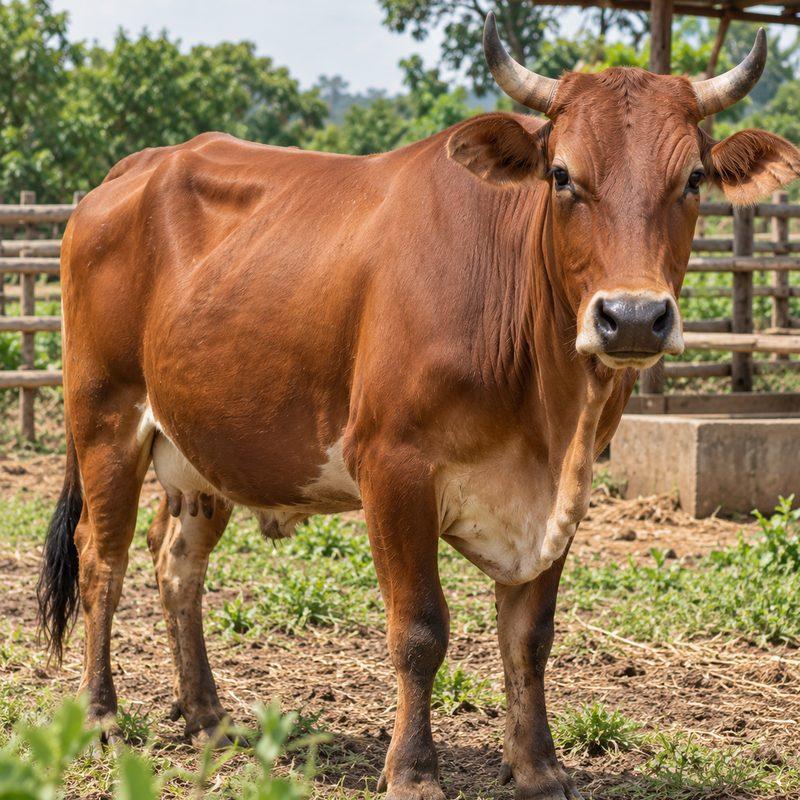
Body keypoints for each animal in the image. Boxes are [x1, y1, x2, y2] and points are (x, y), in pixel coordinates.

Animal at [37, 13, 799, 800]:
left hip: (200, 448)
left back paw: (208, 716)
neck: (543, 405)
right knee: (101, 559)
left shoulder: (566, 486)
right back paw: (100, 714)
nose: (635, 317)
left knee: (177, 564)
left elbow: (530, 636)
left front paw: (538, 767)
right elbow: (420, 630)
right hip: (105, 417)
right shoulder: (392, 468)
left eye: (693, 178)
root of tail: (136, 168)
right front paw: (412, 772)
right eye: (562, 175)